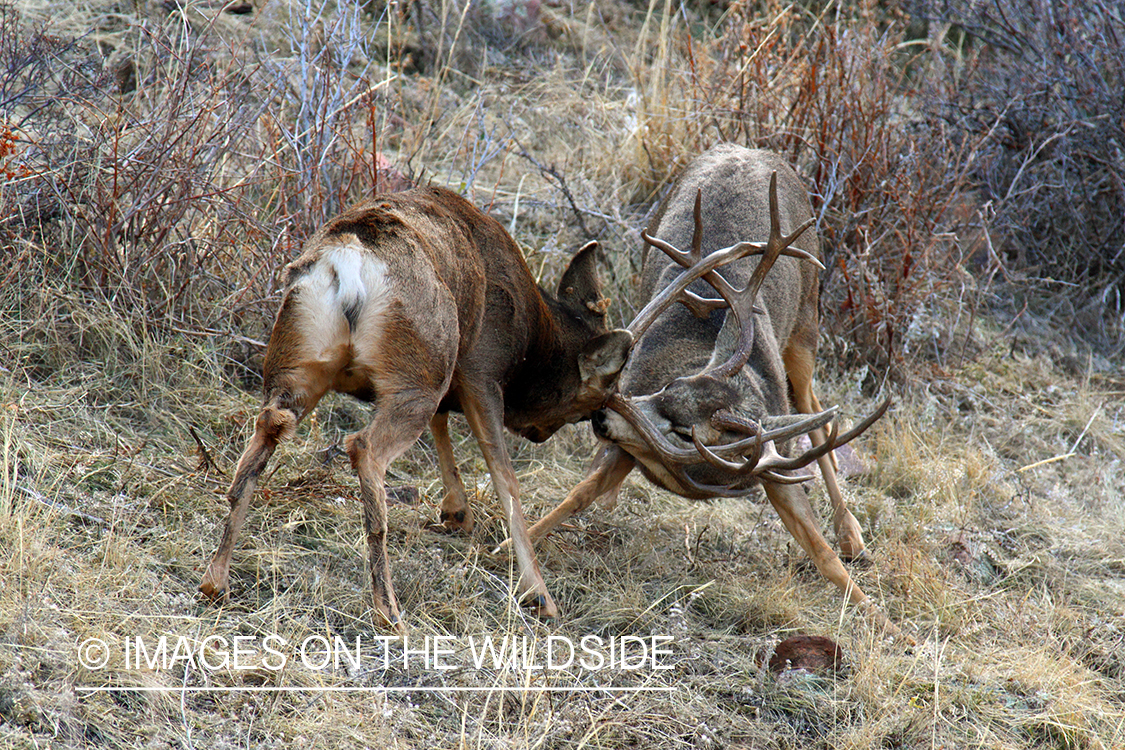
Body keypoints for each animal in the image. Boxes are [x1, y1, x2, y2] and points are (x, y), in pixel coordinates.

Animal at [199, 185, 633, 631]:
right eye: (594, 400)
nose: (542, 432)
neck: (531, 340)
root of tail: (347, 256)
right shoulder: (480, 369)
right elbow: (504, 476)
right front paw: (539, 594)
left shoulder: (449, 369)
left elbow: (443, 424)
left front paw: (457, 512)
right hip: (413, 371)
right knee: (364, 449)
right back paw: (388, 610)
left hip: (300, 359)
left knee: (264, 434)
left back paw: (216, 581)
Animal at [511, 145, 907, 639]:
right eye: (668, 386)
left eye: (685, 433)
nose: (601, 416)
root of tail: (751, 149)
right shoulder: (629, 434)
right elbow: (577, 495)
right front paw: (507, 545)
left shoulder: (769, 465)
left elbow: (823, 553)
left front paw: (889, 624)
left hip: (807, 324)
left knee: (813, 405)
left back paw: (852, 534)